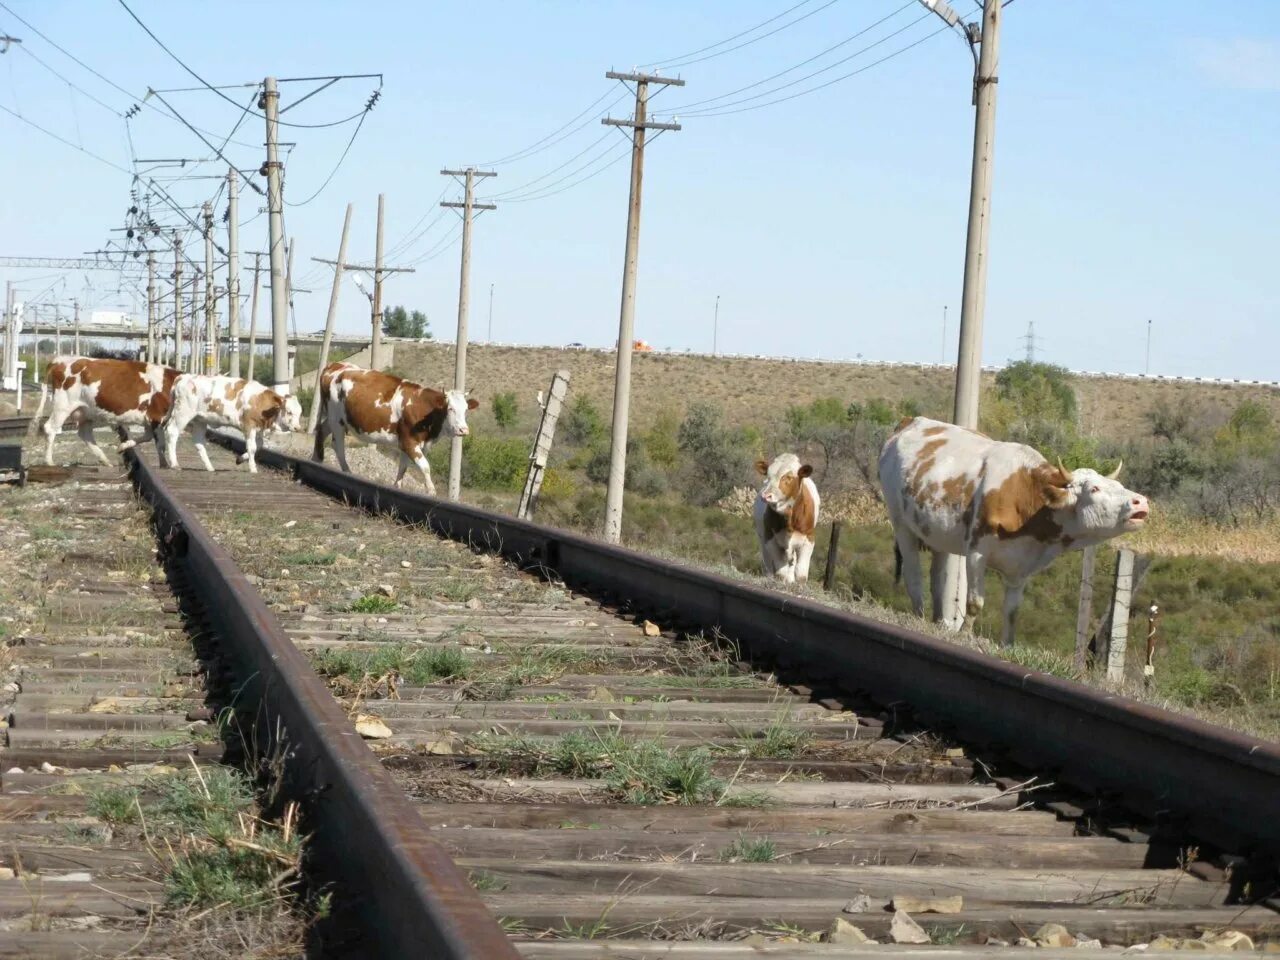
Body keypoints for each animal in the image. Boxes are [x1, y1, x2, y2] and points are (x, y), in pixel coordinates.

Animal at [36, 358, 181, 471]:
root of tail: (59, 360)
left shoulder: (150, 419)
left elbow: (148, 437)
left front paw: (123, 446)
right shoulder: (157, 416)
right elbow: (160, 443)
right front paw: (165, 464)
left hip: (85, 411)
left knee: (85, 434)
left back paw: (105, 460)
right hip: (63, 406)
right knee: (50, 428)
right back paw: (49, 461)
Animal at [163, 376, 303, 473]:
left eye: (300, 413)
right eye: (289, 412)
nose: (297, 427)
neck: (259, 400)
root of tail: (184, 377)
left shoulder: (258, 429)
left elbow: (258, 446)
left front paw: (240, 459)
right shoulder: (249, 425)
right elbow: (252, 447)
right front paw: (253, 468)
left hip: (200, 420)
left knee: (199, 442)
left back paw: (210, 467)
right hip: (183, 413)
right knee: (172, 432)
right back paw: (175, 464)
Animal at [312, 363, 478, 496]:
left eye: (465, 410)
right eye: (450, 409)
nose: (463, 430)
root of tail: (335, 366)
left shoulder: (409, 444)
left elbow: (403, 468)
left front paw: (397, 487)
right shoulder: (409, 441)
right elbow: (425, 466)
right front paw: (431, 490)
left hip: (333, 419)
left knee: (321, 430)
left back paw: (317, 459)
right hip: (337, 420)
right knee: (338, 445)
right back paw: (347, 471)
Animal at [747, 453, 819, 583]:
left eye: (788, 477)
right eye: (768, 476)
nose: (766, 496)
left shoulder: (809, 539)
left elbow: (801, 574)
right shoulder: (770, 538)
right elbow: (781, 572)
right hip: (762, 539)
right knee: (769, 564)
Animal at [880, 414, 1152, 647]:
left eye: (1119, 485)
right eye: (1094, 489)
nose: (1141, 501)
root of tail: (911, 421)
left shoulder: (1022, 567)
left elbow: (1012, 611)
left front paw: (1007, 645)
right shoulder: (977, 551)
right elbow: (975, 602)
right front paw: (964, 634)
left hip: (937, 533)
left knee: (938, 577)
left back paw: (939, 621)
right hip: (901, 524)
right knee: (913, 573)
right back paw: (919, 615)